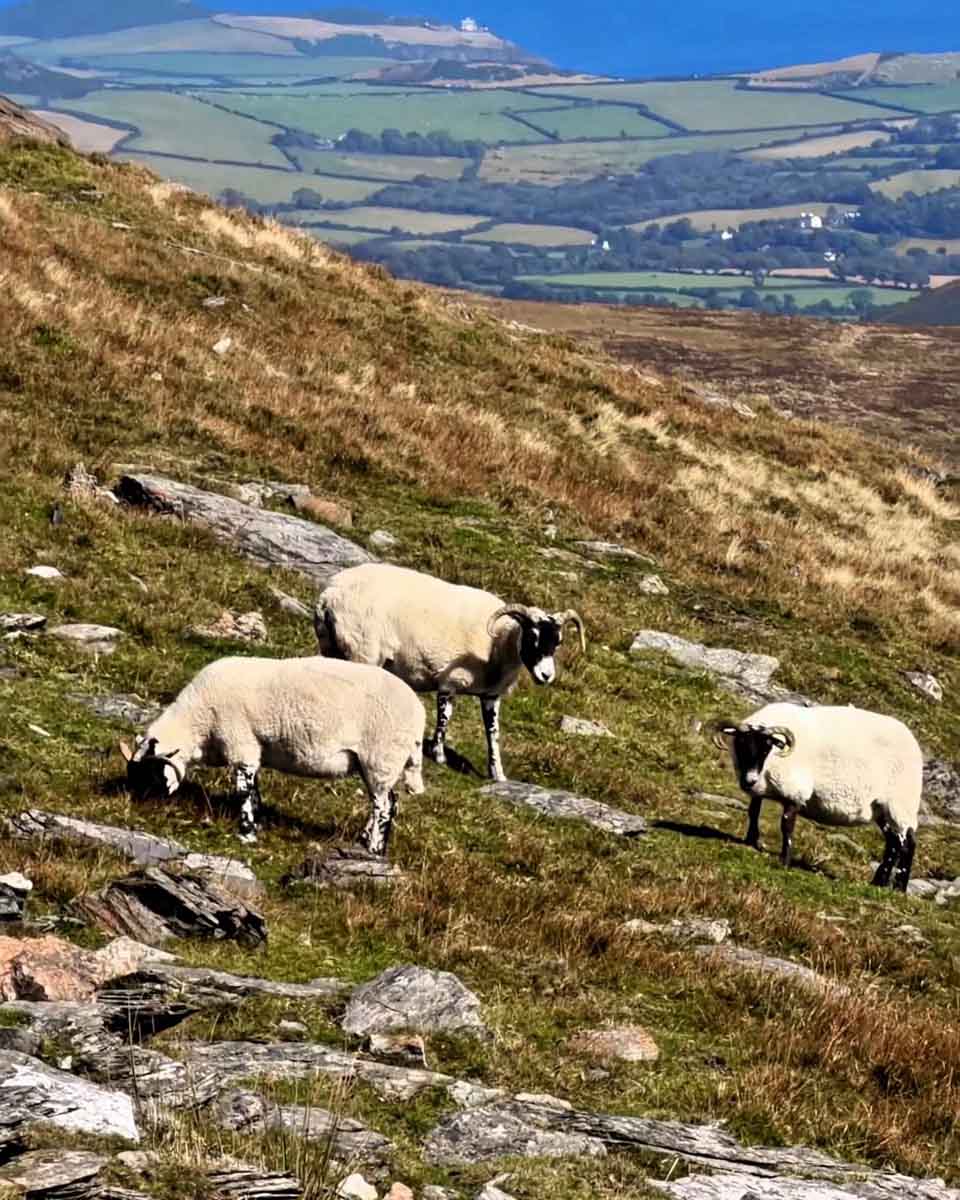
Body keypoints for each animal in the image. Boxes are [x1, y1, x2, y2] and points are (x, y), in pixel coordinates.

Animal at [119, 655, 425, 856]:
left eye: (152, 774)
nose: (139, 807)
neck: (197, 723)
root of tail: (419, 714)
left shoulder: (240, 744)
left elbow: (243, 791)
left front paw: (246, 832)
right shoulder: (253, 751)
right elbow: (254, 791)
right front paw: (257, 822)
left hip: (381, 758)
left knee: (385, 806)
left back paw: (374, 848)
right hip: (376, 763)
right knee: (385, 802)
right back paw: (364, 840)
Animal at [314, 563, 585, 782]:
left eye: (558, 642)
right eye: (532, 637)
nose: (546, 677)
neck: (498, 644)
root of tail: (328, 596)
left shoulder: (490, 695)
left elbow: (493, 733)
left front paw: (497, 774)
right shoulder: (449, 681)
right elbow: (444, 719)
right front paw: (439, 756)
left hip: (333, 646)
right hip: (363, 651)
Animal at [713, 701, 922, 891]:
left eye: (766, 748)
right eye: (740, 744)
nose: (748, 780)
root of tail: (913, 744)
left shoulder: (795, 791)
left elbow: (786, 825)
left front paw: (784, 860)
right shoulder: (760, 789)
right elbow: (753, 811)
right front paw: (750, 840)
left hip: (899, 803)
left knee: (905, 843)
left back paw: (894, 886)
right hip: (881, 808)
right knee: (896, 843)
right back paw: (884, 884)